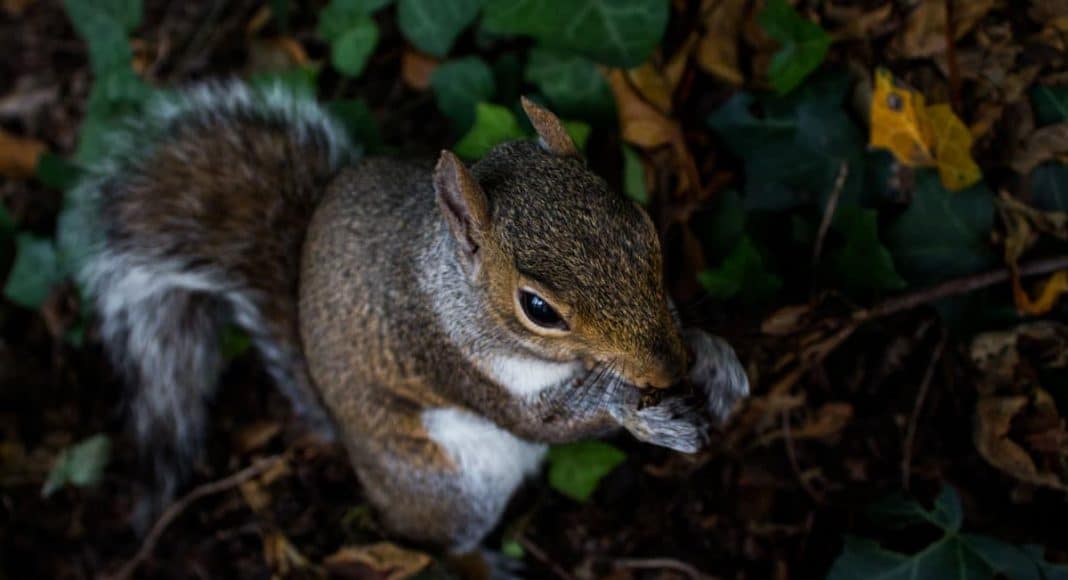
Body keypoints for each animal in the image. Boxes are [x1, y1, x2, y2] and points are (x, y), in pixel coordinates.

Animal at [76, 81, 749, 555]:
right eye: (538, 309)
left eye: (644, 227)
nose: (667, 368)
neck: (456, 288)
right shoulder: (449, 358)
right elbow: (543, 423)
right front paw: (640, 415)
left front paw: (715, 359)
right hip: (448, 491)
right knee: (441, 546)